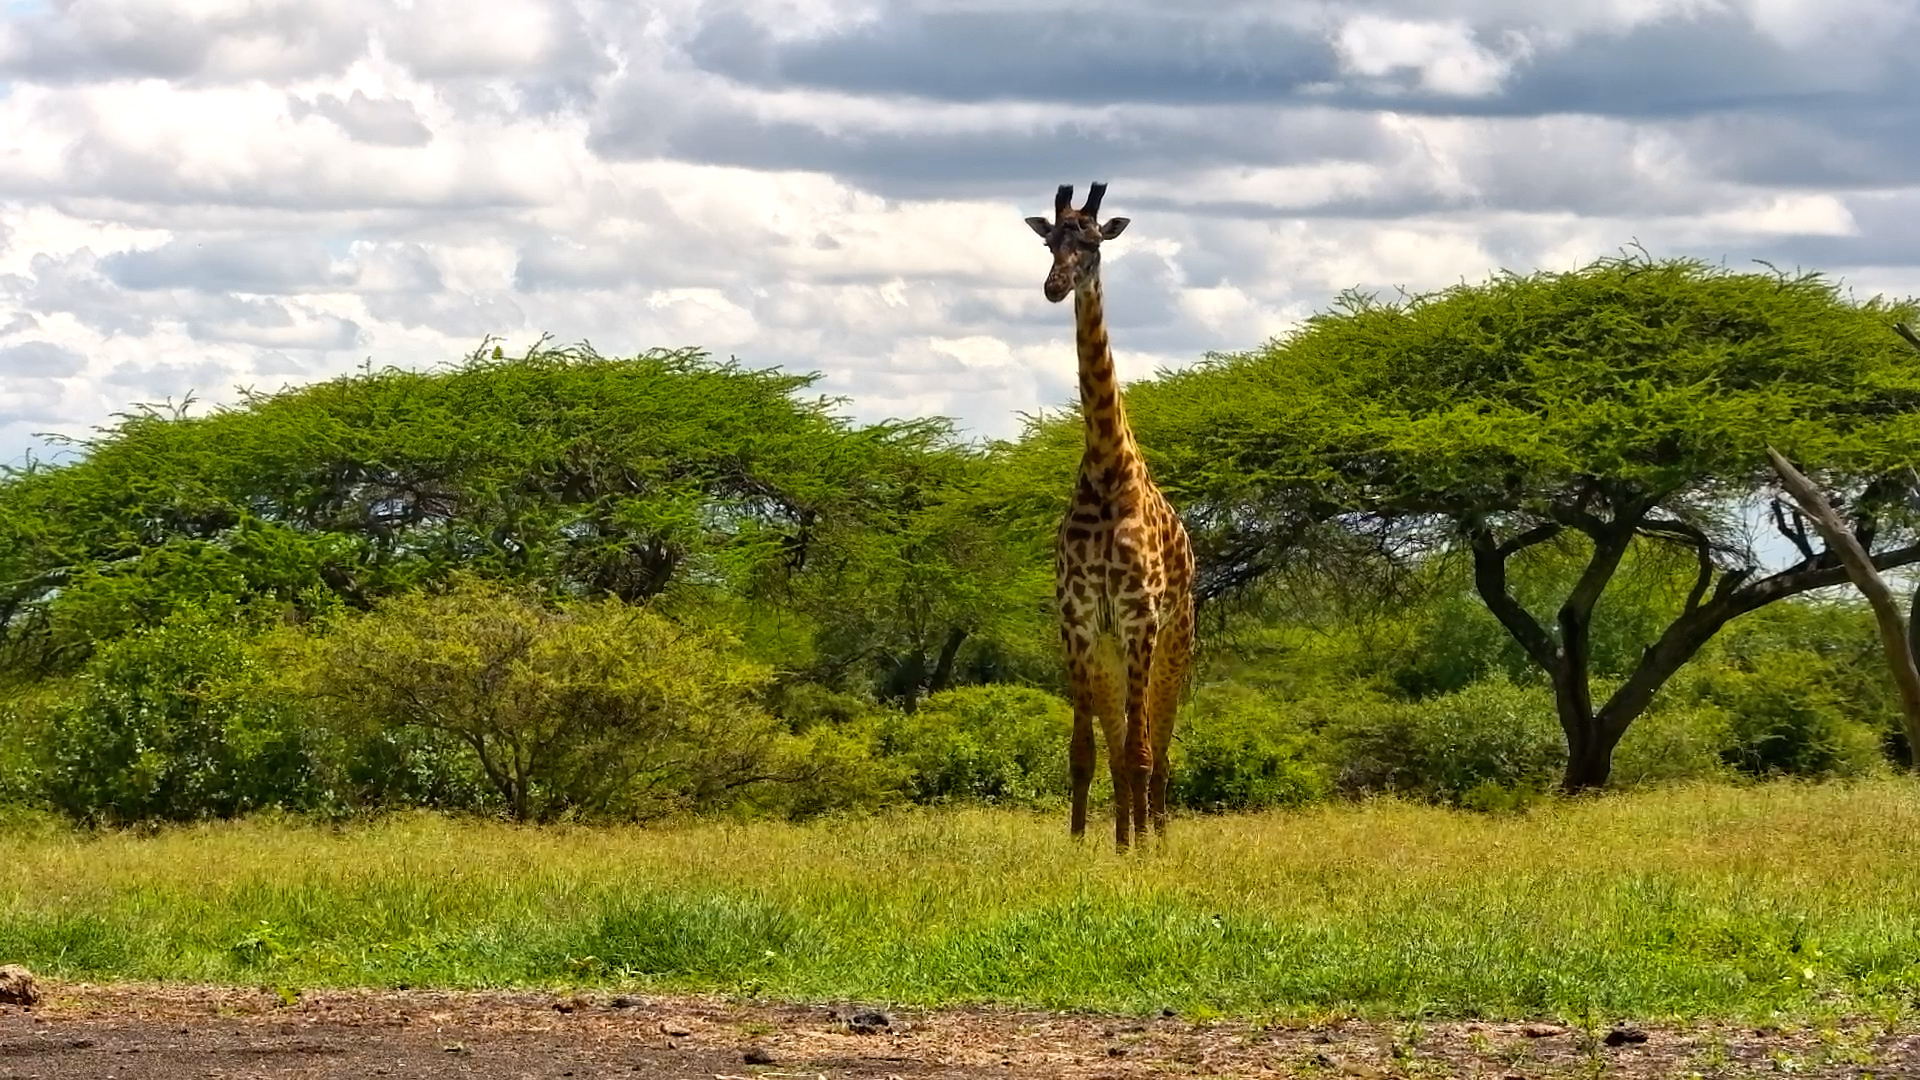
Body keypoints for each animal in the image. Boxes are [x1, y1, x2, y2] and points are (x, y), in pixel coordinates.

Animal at [1025, 182, 1196, 851]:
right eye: (1049, 241)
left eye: (1094, 242)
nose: (1053, 286)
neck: (1104, 469)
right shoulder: (1076, 621)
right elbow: (1087, 754)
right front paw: (1081, 847)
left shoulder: (1138, 619)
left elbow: (1142, 753)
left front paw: (1141, 852)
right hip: (1109, 655)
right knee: (1122, 748)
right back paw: (1124, 835)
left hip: (1175, 644)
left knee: (1160, 750)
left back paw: (1155, 836)